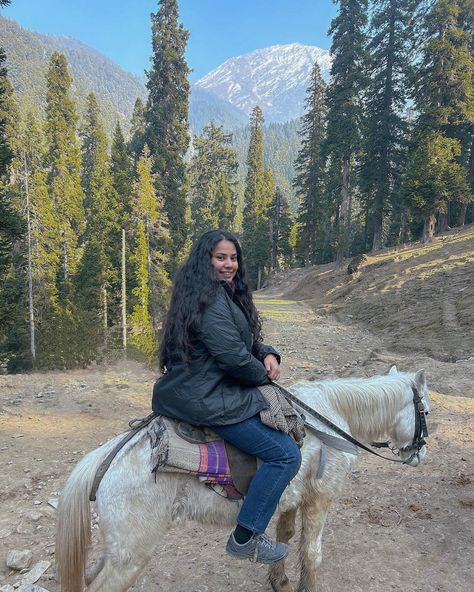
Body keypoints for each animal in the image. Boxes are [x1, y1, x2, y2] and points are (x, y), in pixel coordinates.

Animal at [55, 366, 430, 592]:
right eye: (424, 410)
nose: (420, 454)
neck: (329, 421)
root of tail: (107, 458)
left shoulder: (291, 499)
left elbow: (285, 538)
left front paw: (279, 580)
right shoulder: (319, 500)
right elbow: (312, 553)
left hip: (118, 548)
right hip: (131, 554)